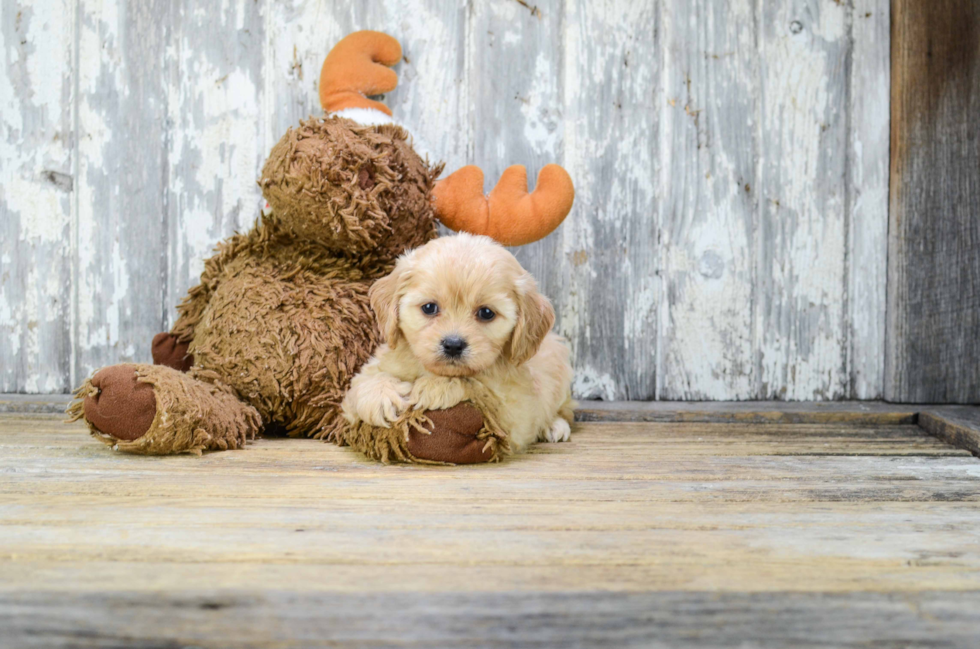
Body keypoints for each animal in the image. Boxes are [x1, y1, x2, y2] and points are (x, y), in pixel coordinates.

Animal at [342, 232, 576, 450]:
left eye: (486, 313)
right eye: (429, 307)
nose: (453, 345)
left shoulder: (515, 413)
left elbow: (479, 389)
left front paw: (435, 387)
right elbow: (363, 383)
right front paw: (380, 395)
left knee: (566, 409)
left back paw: (555, 425)